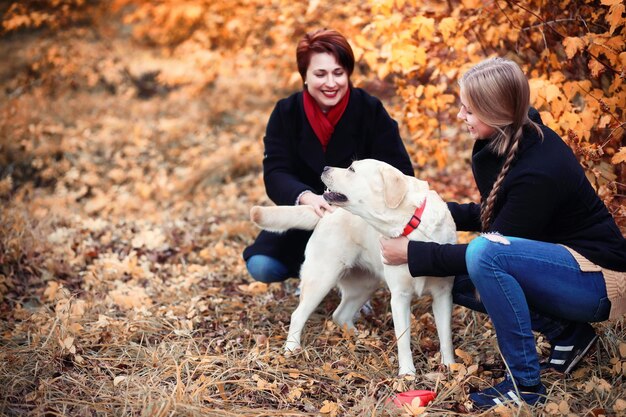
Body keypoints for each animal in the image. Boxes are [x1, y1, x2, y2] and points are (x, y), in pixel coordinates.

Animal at [251, 158, 456, 374]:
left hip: (364, 286)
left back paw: (361, 338)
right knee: (298, 315)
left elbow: (446, 336)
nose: (325, 167)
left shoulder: (443, 294)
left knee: (340, 315)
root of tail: (327, 212)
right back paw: (291, 349)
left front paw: (450, 366)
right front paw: (407, 373)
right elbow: (403, 340)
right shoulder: (400, 296)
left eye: (352, 169)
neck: (411, 226)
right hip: (322, 278)